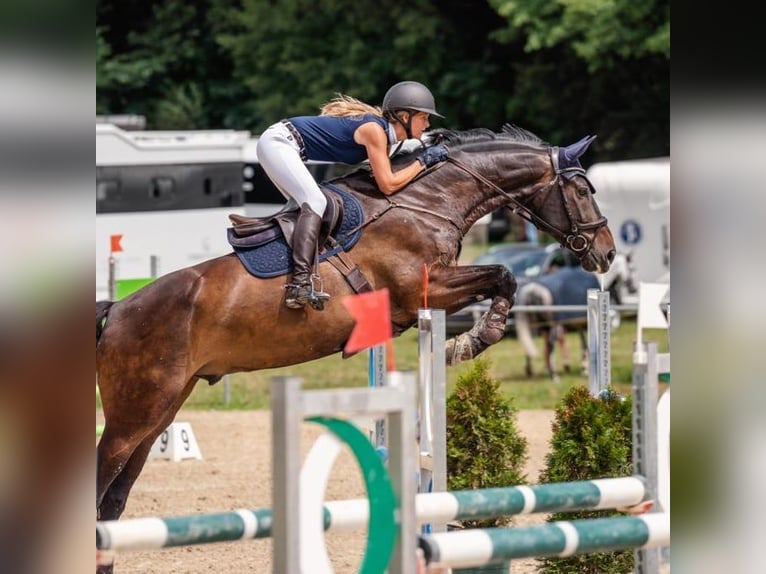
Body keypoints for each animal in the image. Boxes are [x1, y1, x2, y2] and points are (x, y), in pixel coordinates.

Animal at [95, 124, 615, 571]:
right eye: (583, 190)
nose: (606, 253)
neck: (426, 203)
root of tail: (116, 310)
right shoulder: (425, 290)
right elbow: (503, 275)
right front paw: (473, 339)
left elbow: (501, 278)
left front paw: (467, 340)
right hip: (134, 416)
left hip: (158, 414)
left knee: (114, 502)